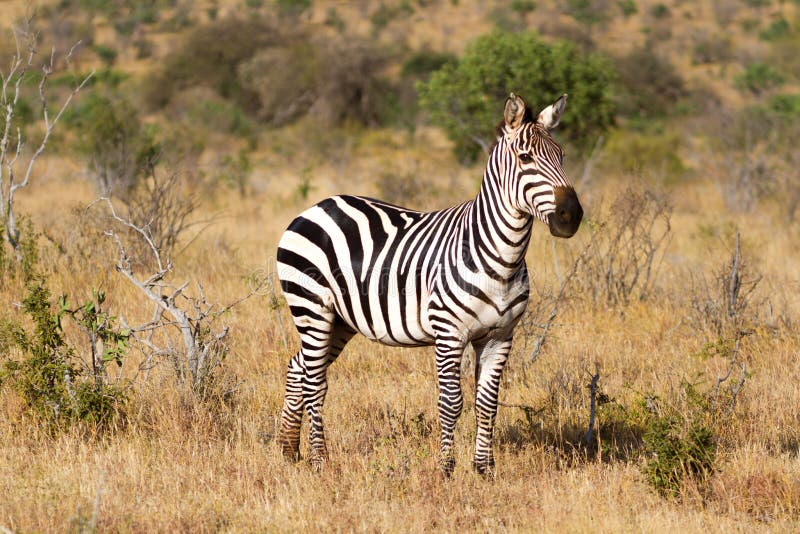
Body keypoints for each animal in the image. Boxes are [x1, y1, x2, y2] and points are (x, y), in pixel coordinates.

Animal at [276, 93, 580, 478]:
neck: (502, 258)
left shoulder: (500, 335)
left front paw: (484, 470)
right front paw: (446, 469)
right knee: (315, 380)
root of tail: (316, 205)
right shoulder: (449, 333)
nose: (572, 215)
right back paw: (319, 459)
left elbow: (487, 403)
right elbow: (451, 402)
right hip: (311, 307)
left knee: (298, 366)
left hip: (340, 320)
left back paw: (288, 450)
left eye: (562, 155)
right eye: (525, 158)